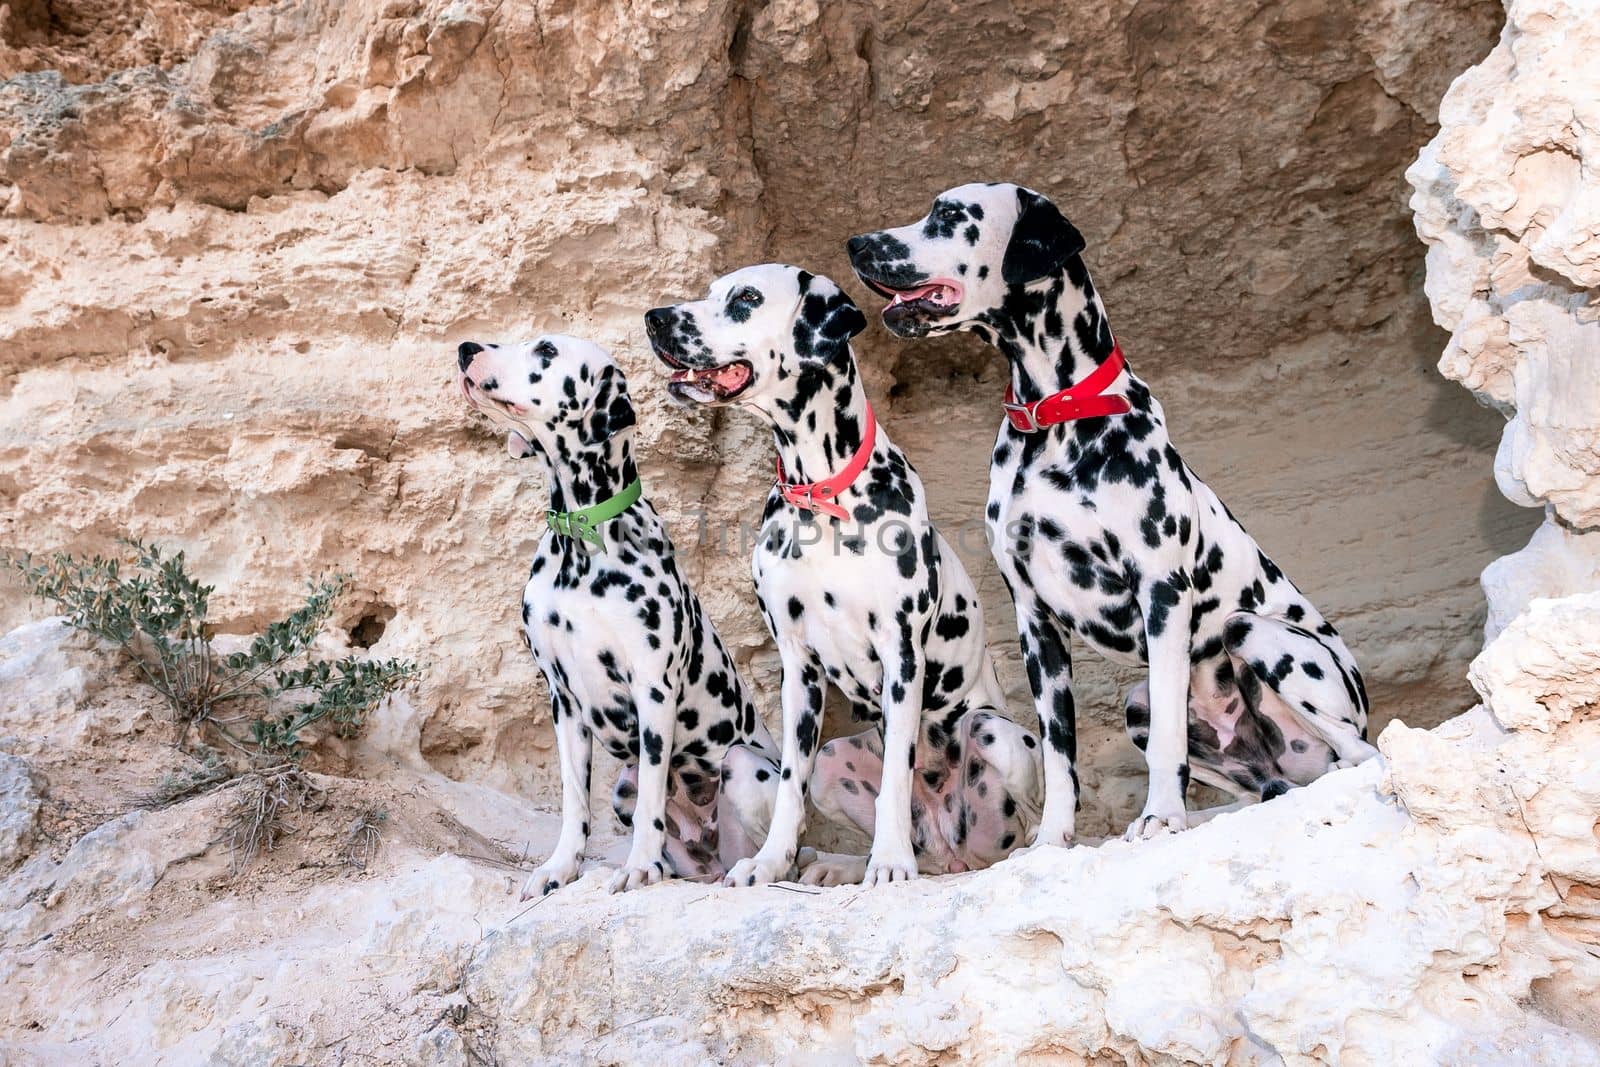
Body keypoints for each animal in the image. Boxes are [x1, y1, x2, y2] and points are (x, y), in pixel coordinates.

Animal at [451, 334, 780, 895]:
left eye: (545, 349)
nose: (466, 347)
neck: (581, 541)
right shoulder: (562, 699)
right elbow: (573, 802)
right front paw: (560, 867)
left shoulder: (653, 690)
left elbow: (652, 795)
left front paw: (639, 865)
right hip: (621, 792)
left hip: (742, 764)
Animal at [643, 265, 1043, 883]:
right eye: (709, 292)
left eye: (747, 297)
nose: (655, 318)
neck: (821, 497)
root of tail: (952, 854)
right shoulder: (797, 666)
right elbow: (790, 783)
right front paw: (770, 861)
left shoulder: (902, 656)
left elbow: (898, 774)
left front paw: (891, 861)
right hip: (835, 761)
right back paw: (840, 865)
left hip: (998, 735)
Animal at [844, 185, 1382, 851]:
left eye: (948, 216)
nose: (856, 244)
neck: (1056, 419)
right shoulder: (1036, 622)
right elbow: (1059, 755)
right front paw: (1053, 839)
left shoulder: (1162, 595)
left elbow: (1170, 745)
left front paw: (1159, 816)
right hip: (1137, 703)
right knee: (1261, 788)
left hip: (1255, 635)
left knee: (1356, 755)